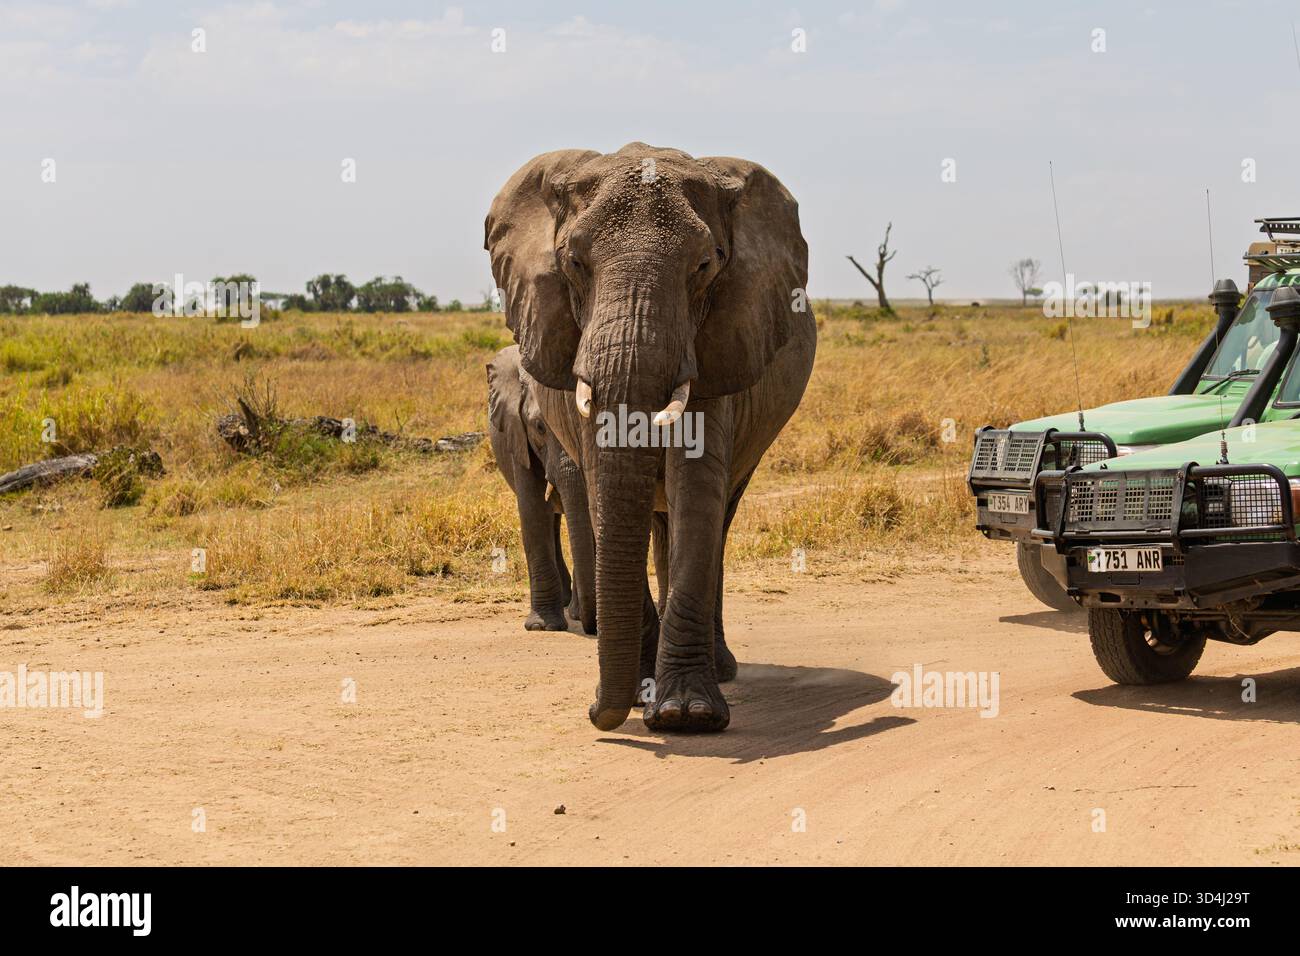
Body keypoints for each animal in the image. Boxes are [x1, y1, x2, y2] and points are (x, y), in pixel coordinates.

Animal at [487, 344, 596, 635]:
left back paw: (574, 609)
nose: (592, 628)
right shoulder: (516, 432)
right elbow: (533, 508)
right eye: (539, 428)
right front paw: (541, 627)